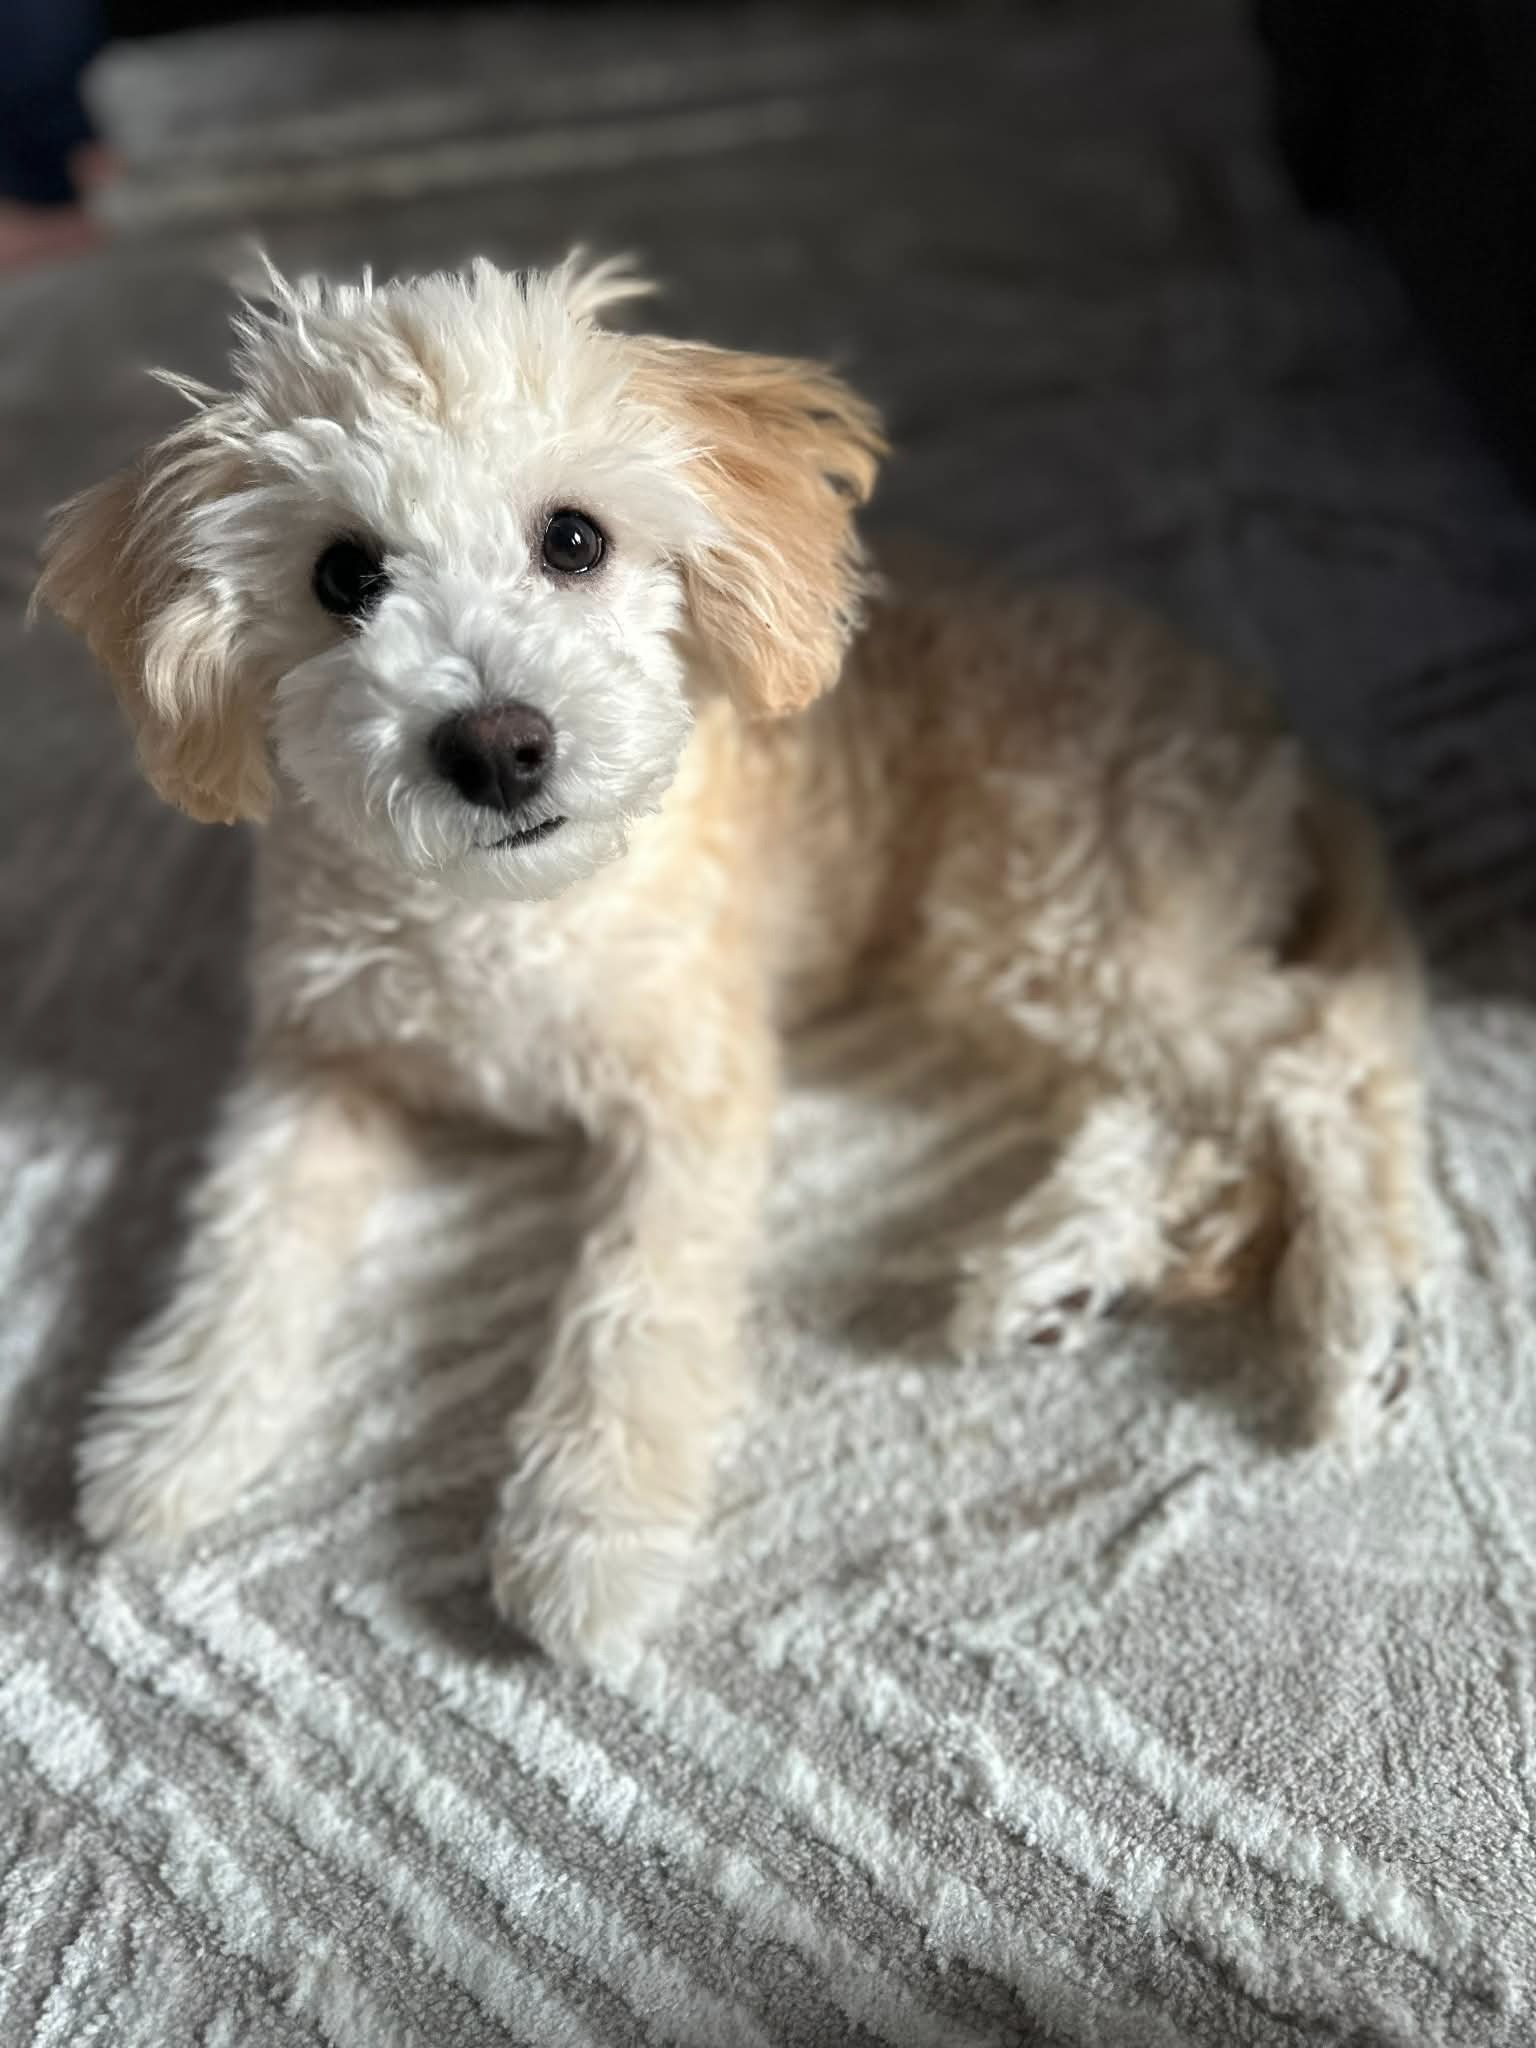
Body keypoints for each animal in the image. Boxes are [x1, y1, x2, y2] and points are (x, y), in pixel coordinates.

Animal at [35, 252, 1428, 1667]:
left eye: (574, 538)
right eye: (341, 574)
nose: (497, 746)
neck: (502, 915)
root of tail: (1264, 725)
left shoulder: (691, 1096)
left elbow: (636, 1302)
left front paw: (590, 1532)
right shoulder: (318, 1063)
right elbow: (245, 1234)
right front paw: (173, 1428)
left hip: (1057, 914)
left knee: (1317, 1061)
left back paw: (1358, 1317)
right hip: (1042, 951)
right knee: (1192, 1101)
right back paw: (1059, 1267)